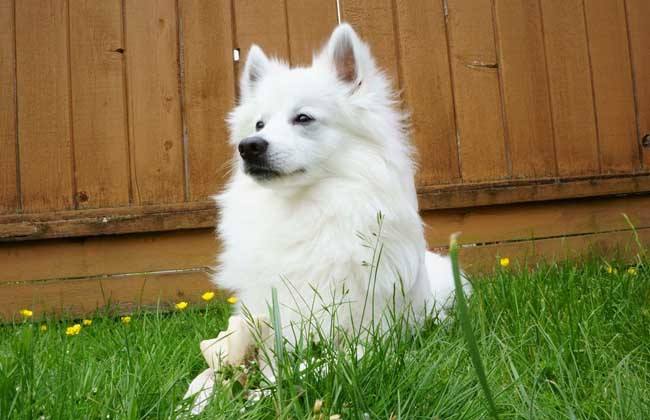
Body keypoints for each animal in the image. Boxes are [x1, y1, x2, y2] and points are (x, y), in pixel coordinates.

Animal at [185, 23, 458, 414]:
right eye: (259, 124)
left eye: (303, 118)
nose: (249, 146)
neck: (302, 212)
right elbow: (203, 377)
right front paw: (196, 401)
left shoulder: (370, 340)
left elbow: (309, 366)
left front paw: (261, 395)